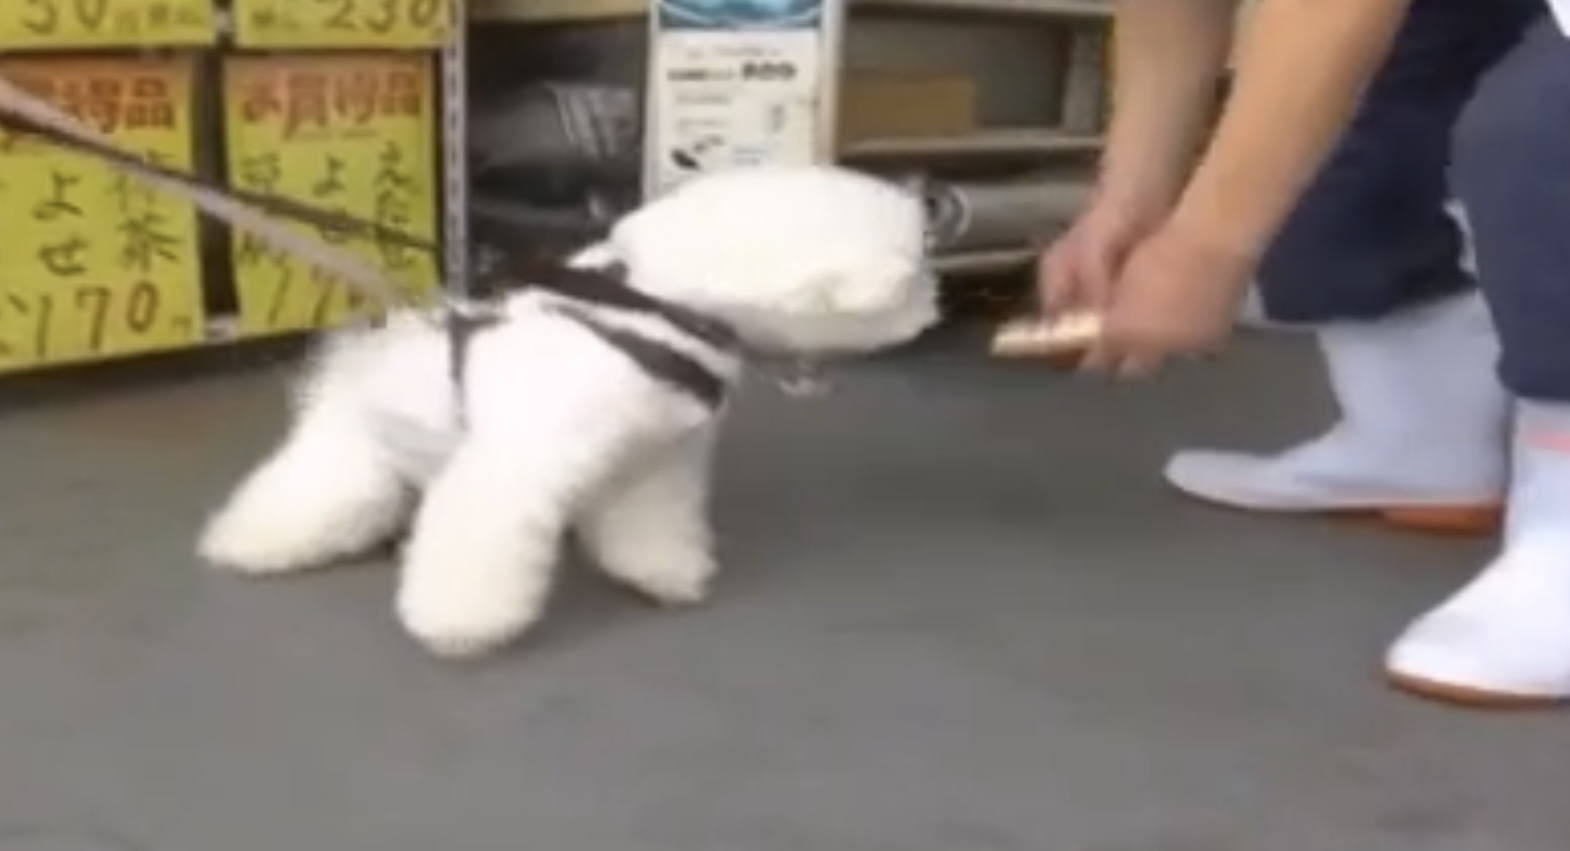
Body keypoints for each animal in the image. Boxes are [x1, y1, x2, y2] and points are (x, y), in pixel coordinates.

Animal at [196, 164, 939, 658]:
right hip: (349, 458)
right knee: (302, 497)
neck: (647, 317)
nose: (935, 305)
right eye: (913, 271)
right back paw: (246, 543)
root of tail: (355, 359)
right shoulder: (515, 465)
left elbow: (650, 529)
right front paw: (460, 623)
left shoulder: (653, 465)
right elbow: (479, 546)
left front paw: (661, 574)